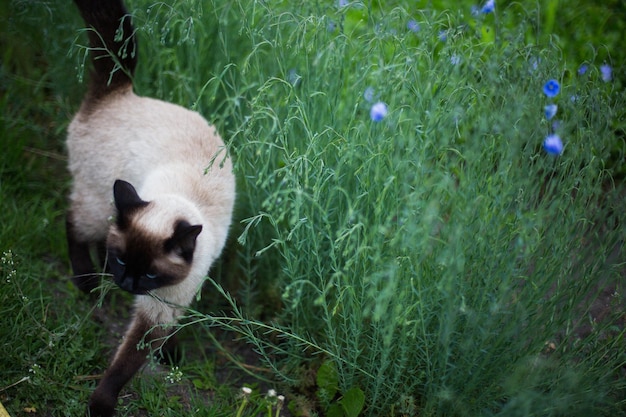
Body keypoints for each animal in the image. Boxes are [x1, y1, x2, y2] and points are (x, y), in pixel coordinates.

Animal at [67, 1, 235, 414]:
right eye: (125, 262)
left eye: (149, 274)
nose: (126, 285)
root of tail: (121, 92)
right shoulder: (154, 311)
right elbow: (123, 366)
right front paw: (100, 405)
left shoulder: (166, 305)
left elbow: (155, 341)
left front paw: (171, 355)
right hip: (98, 203)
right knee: (74, 225)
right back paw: (87, 283)